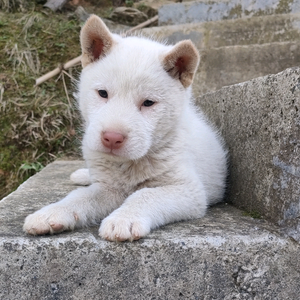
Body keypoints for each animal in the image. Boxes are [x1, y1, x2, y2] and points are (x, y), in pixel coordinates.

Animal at [23, 15, 227, 243]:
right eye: (103, 93)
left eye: (148, 103)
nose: (112, 138)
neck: (130, 163)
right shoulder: (108, 188)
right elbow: (81, 196)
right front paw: (53, 212)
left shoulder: (188, 191)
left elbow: (145, 194)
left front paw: (124, 219)